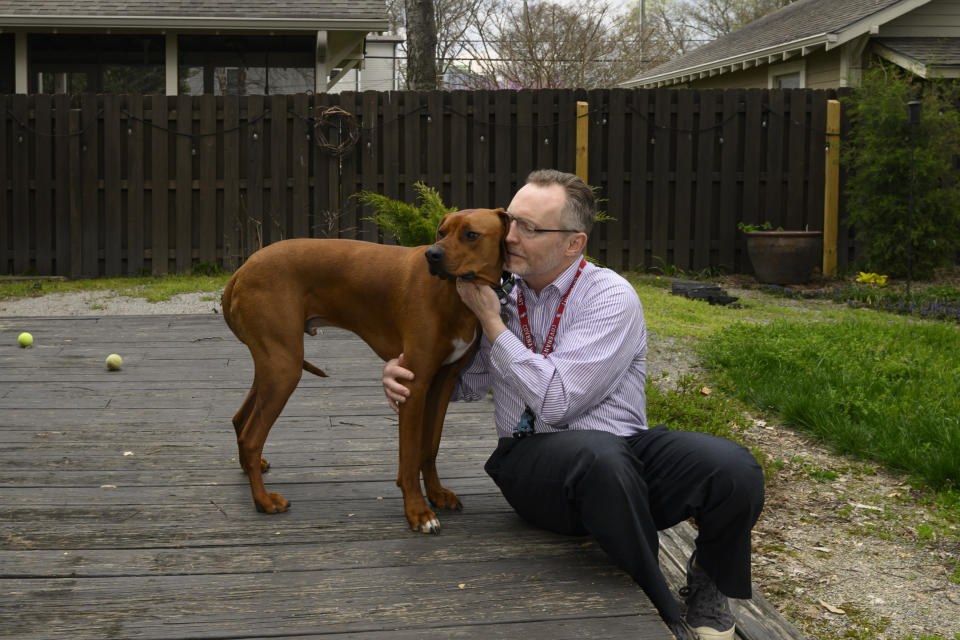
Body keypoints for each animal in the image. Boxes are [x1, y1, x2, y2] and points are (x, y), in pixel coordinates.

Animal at [219, 208, 510, 532]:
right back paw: (263, 500)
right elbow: (410, 456)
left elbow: (430, 447)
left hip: (274, 363)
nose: (432, 255)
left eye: (471, 234)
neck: (452, 295)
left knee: (240, 419)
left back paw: (252, 468)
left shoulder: (443, 382)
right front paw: (418, 511)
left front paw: (436, 494)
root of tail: (242, 269)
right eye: (441, 232)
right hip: (284, 367)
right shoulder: (414, 382)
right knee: (251, 436)